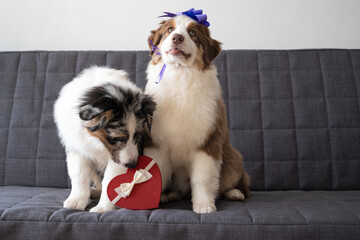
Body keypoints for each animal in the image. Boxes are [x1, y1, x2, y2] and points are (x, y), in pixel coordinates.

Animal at [144, 15, 250, 214]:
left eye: (192, 32)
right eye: (170, 30)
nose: (177, 37)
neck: (180, 75)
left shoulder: (208, 141)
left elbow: (202, 178)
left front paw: (204, 205)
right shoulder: (155, 143)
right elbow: (156, 172)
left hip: (233, 156)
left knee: (239, 182)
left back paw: (235, 193)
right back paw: (169, 195)